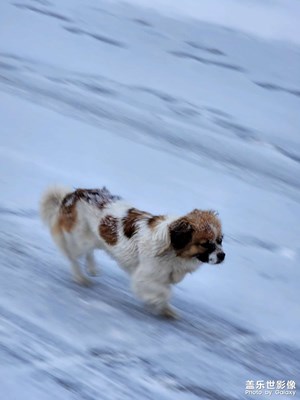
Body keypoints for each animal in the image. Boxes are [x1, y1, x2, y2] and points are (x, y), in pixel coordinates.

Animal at [39, 185, 224, 318]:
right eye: (206, 244)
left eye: (220, 240)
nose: (222, 255)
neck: (172, 249)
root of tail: (73, 195)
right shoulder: (143, 277)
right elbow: (164, 292)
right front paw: (154, 300)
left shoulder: (162, 277)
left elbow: (165, 292)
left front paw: (166, 310)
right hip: (81, 240)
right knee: (71, 255)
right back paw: (80, 276)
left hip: (94, 239)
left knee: (87, 253)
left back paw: (91, 268)